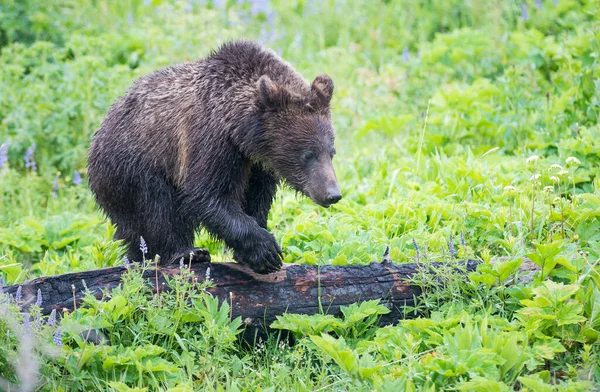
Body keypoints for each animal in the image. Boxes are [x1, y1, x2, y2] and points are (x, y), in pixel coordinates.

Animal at [89, 39, 342, 272]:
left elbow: (256, 198)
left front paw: (253, 252)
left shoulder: (258, 165)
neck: (243, 133)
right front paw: (266, 250)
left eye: (331, 152)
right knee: (157, 209)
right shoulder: (211, 140)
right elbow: (207, 195)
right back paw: (187, 253)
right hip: (133, 166)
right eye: (307, 154)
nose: (333, 194)